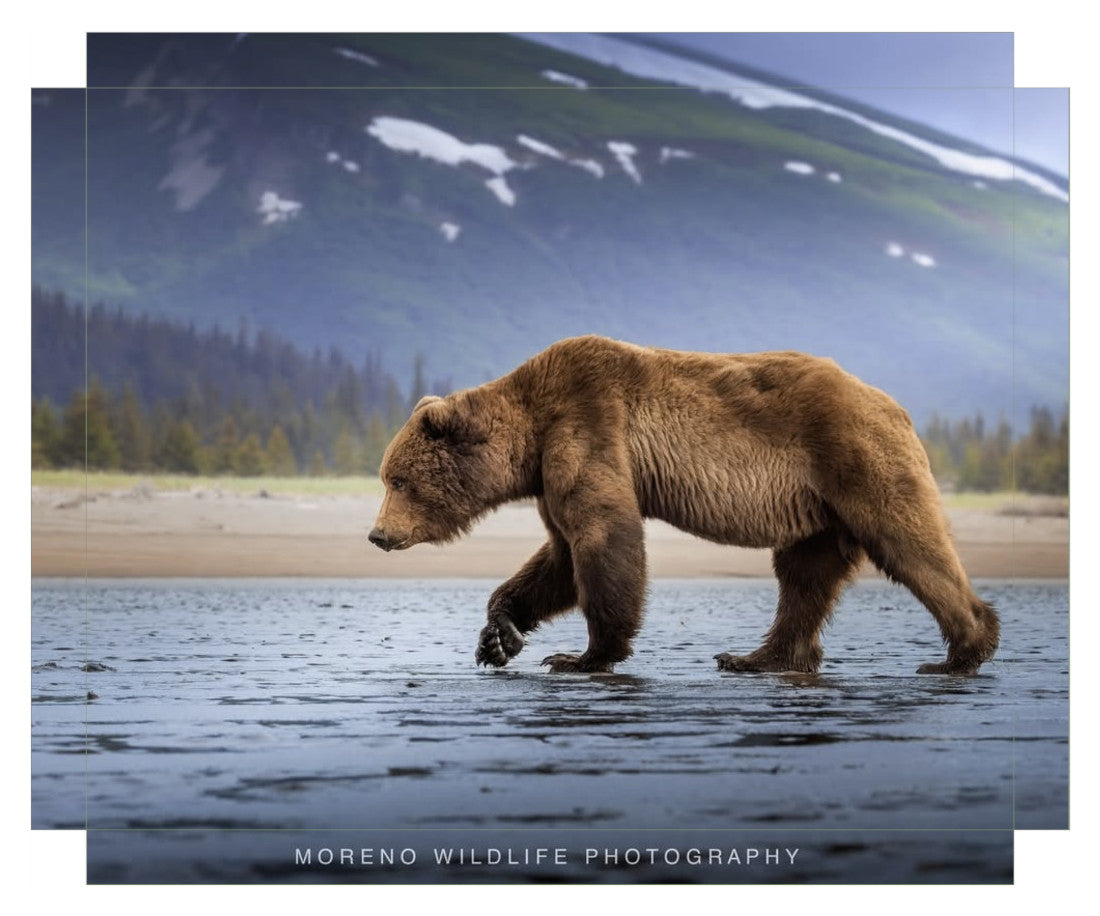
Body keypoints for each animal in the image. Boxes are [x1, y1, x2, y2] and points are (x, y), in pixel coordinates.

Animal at [368, 335, 999, 676]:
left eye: (397, 480)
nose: (376, 535)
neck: (530, 431)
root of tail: (896, 405)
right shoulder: (550, 471)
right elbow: (559, 556)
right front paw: (499, 637)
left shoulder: (587, 424)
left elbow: (603, 538)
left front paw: (583, 655)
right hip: (818, 507)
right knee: (804, 576)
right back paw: (756, 657)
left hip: (855, 460)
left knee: (908, 543)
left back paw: (962, 650)